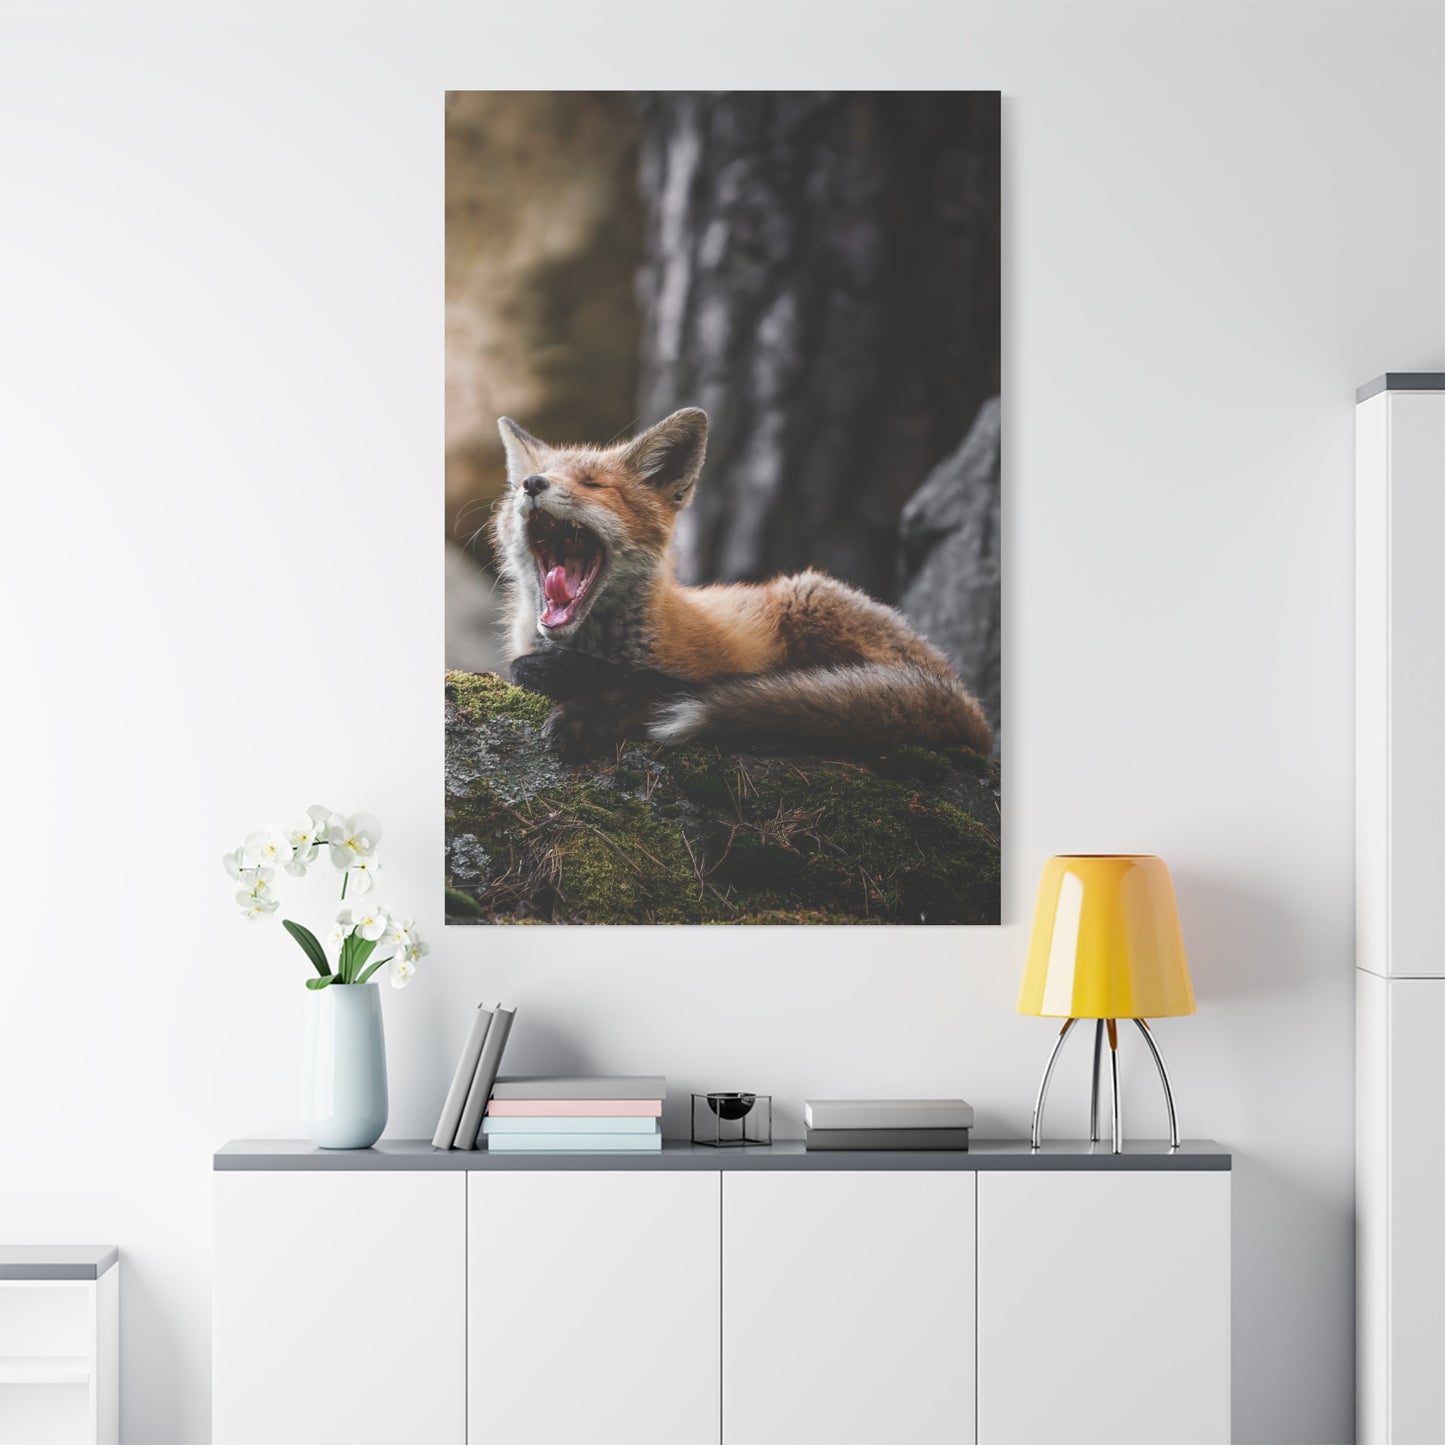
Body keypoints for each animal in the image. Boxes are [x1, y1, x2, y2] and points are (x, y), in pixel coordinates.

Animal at [491, 407, 993, 761]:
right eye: (523, 486)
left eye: (593, 484)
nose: (532, 484)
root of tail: (970, 703)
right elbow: (525, 668)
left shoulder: (704, 667)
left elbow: (652, 684)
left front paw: (586, 714)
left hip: (807, 597)